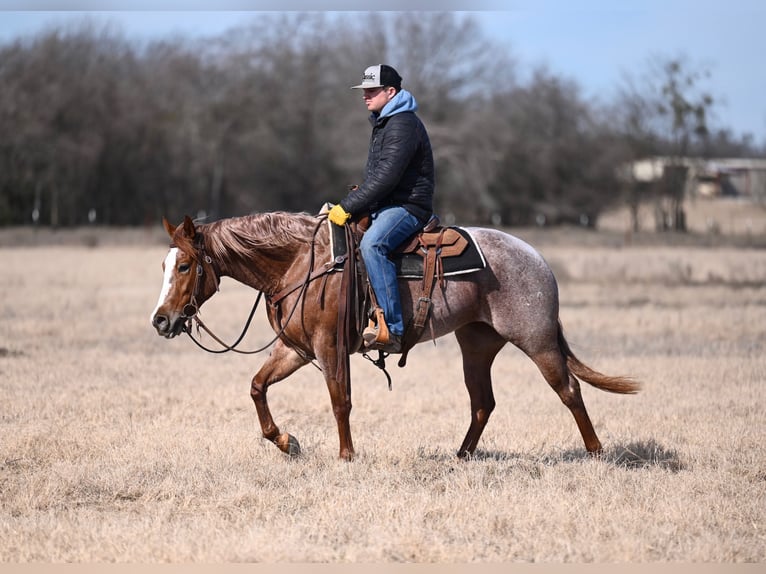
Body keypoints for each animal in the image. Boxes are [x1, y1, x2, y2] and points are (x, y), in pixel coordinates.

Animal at [150, 212, 640, 461]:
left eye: (185, 265)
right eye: (165, 264)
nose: (160, 320)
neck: (302, 264)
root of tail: (538, 259)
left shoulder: (329, 348)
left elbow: (340, 401)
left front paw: (346, 456)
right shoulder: (296, 348)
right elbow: (256, 387)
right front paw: (288, 443)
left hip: (536, 342)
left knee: (569, 389)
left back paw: (596, 452)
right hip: (477, 345)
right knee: (483, 402)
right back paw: (460, 456)